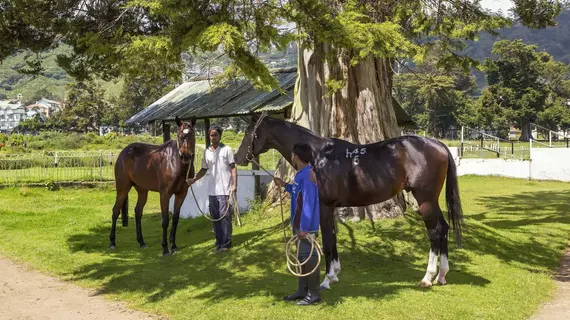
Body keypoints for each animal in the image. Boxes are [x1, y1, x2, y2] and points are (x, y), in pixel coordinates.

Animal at [110, 116, 196, 256]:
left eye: (193, 135)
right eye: (179, 135)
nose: (185, 156)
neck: (174, 163)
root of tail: (124, 152)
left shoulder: (181, 193)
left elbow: (175, 218)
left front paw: (173, 245)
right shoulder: (165, 194)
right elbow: (165, 220)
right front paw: (165, 249)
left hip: (142, 190)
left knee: (138, 211)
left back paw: (141, 242)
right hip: (123, 189)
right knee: (115, 211)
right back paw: (112, 242)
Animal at [235, 115, 462, 290]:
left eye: (248, 132)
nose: (237, 158)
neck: (318, 156)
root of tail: (439, 145)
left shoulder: (325, 206)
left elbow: (327, 241)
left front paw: (326, 280)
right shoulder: (332, 209)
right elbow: (334, 239)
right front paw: (335, 274)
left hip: (425, 200)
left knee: (434, 231)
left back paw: (427, 278)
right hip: (431, 201)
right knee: (443, 228)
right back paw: (442, 275)